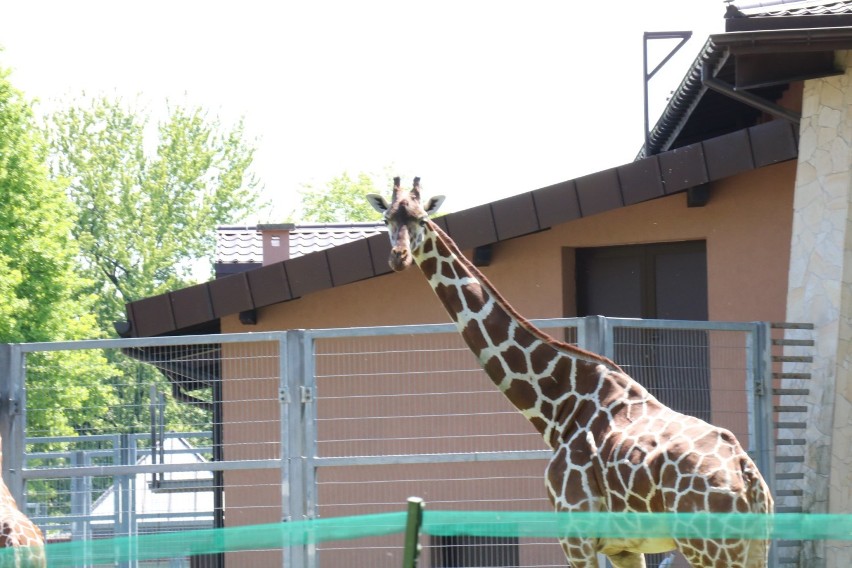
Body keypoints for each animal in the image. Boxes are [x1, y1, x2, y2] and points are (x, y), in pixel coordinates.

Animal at [366, 179, 772, 568]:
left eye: (420, 218)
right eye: (386, 219)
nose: (398, 257)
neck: (559, 407)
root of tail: (747, 476)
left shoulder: (576, 534)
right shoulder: (623, 548)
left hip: (709, 547)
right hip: (753, 548)